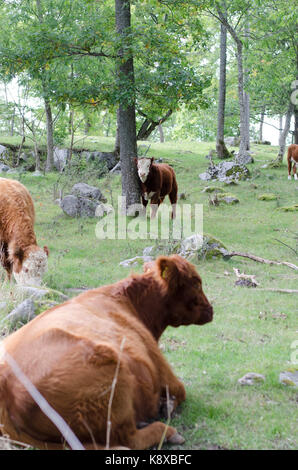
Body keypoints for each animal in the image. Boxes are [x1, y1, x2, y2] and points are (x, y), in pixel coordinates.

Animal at [0, 255, 214, 450]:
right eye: (196, 283)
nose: (211, 310)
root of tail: (6, 381)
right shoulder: (160, 366)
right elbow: (181, 390)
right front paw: (166, 405)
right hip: (113, 380)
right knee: (129, 439)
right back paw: (166, 432)